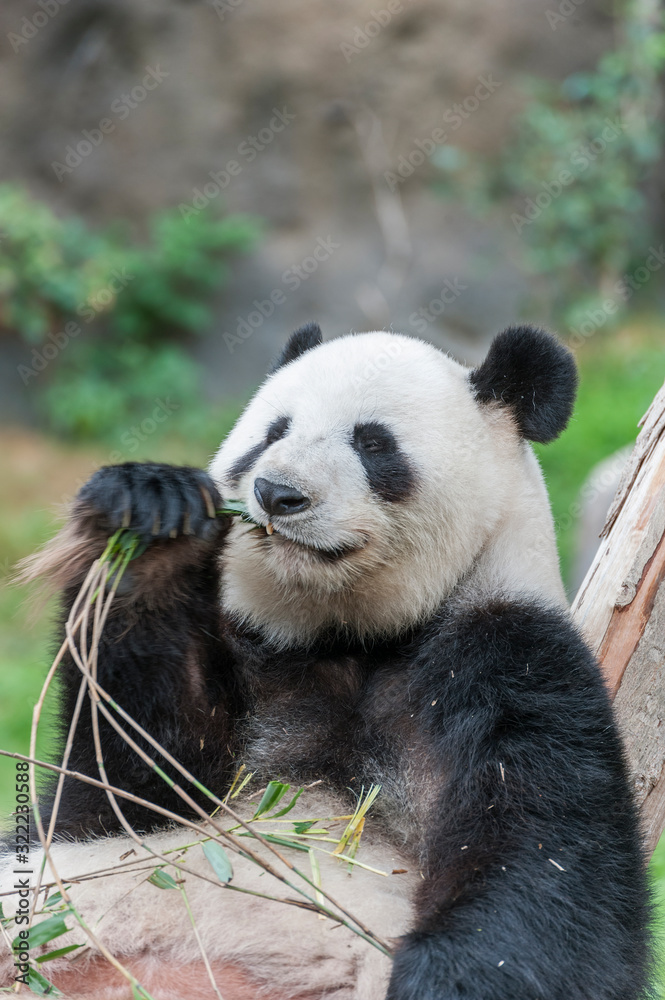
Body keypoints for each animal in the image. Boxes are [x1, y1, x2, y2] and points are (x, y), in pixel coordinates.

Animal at [1, 323, 652, 1000]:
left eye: (372, 443)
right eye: (273, 432)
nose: (276, 493)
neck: (349, 635)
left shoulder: (512, 656)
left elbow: (552, 864)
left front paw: (443, 978)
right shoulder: (257, 650)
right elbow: (133, 787)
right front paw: (154, 524)